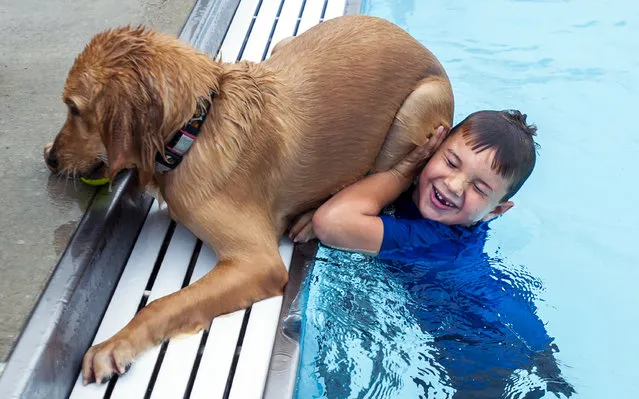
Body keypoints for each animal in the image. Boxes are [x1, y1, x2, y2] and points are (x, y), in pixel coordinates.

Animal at [42, 14, 452, 384]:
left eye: (74, 108)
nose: (50, 158)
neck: (196, 129)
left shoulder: (259, 262)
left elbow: (164, 303)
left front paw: (114, 345)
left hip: (415, 106)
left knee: (385, 179)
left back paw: (310, 218)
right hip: (287, 41)